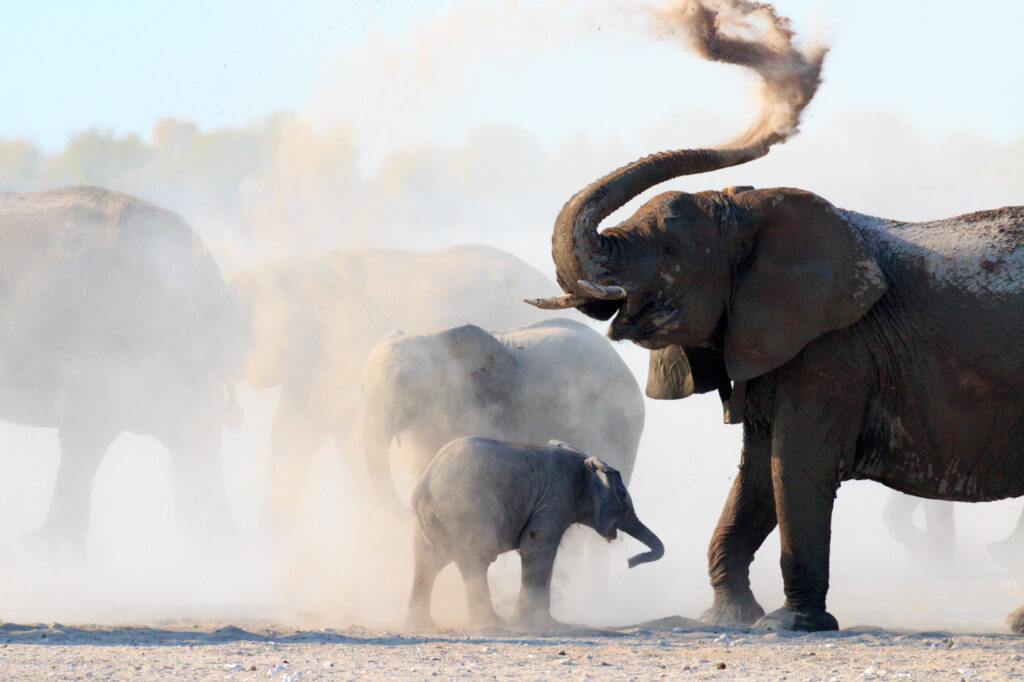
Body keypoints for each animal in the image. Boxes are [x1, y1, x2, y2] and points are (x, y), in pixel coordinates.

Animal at [407, 437, 663, 629]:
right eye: (622, 500)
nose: (630, 562)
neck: (583, 460)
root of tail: (424, 482)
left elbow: (547, 554)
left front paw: (548, 623)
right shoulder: (555, 498)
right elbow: (537, 549)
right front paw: (528, 624)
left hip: (436, 519)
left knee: (429, 562)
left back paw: (422, 624)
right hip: (465, 511)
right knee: (475, 560)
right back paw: (494, 623)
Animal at [527, 145, 1024, 631]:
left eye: (670, 249)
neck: (753, 213)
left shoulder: (834, 347)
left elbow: (797, 464)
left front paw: (790, 624)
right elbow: (758, 471)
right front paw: (728, 616)